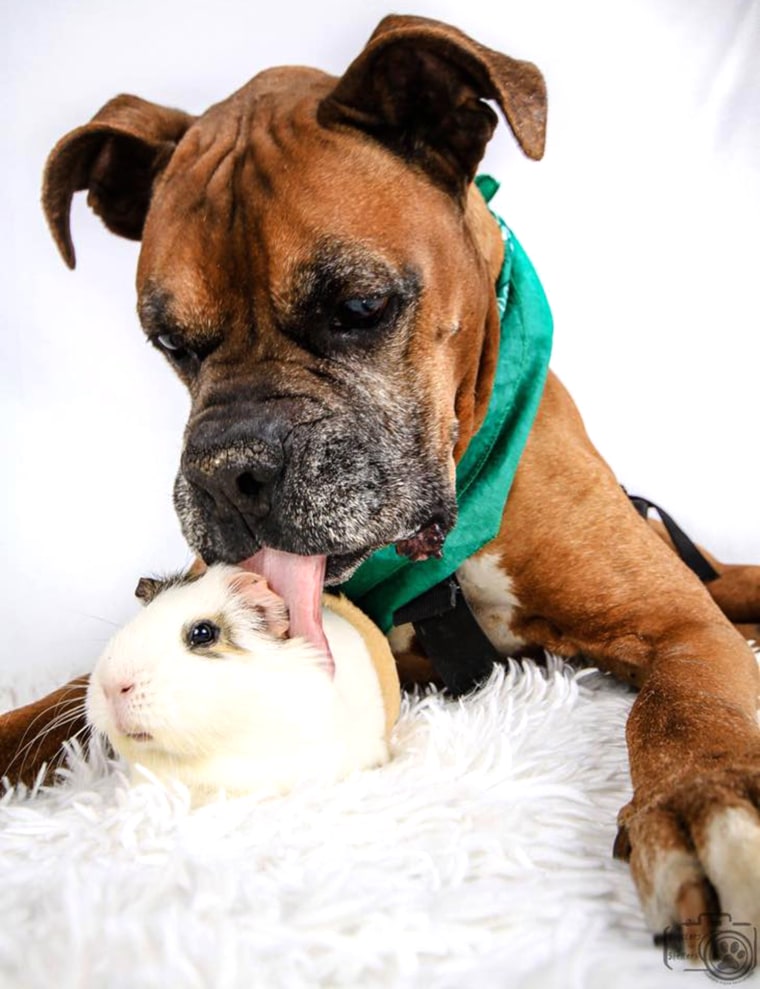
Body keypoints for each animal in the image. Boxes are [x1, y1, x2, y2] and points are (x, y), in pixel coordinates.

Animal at [2, 13, 756, 940]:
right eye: (169, 342)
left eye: (359, 307)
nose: (225, 471)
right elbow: (46, 707)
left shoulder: (674, 622)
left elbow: (685, 706)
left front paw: (702, 799)